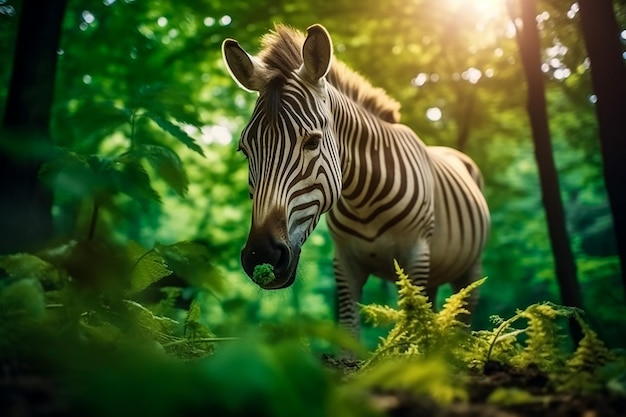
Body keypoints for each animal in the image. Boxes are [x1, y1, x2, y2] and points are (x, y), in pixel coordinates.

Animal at [219, 23, 488, 334]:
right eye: (244, 150)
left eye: (312, 142)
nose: (261, 256)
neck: (364, 198)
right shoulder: (345, 263)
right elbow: (350, 332)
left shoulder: (416, 255)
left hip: (470, 269)